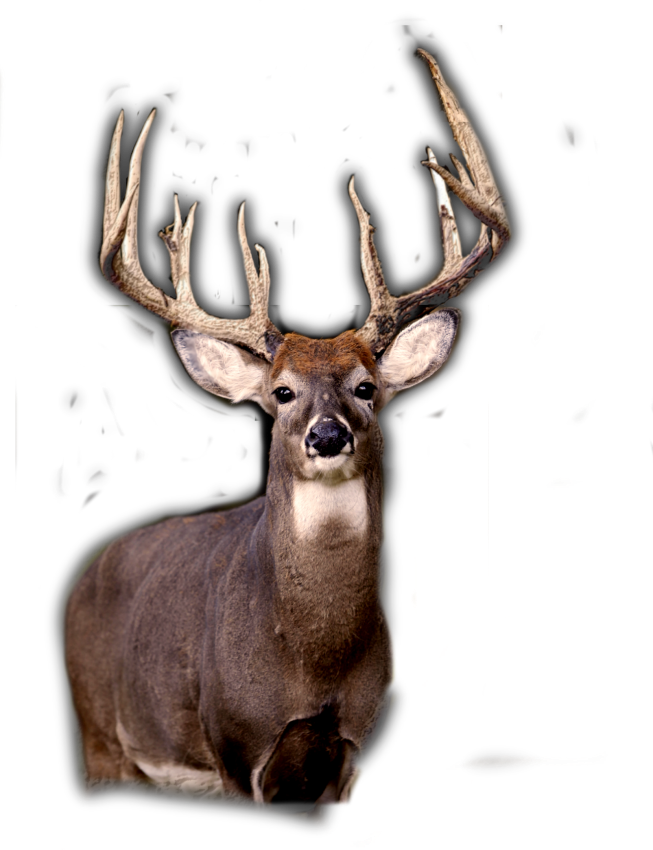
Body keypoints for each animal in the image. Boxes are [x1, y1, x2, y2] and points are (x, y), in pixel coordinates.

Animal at [63, 48, 510, 828]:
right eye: (280, 393)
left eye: (365, 388)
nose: (327, 436)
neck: (312, 660)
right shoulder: (236, 746)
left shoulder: (353, 747)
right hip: (99, 735)